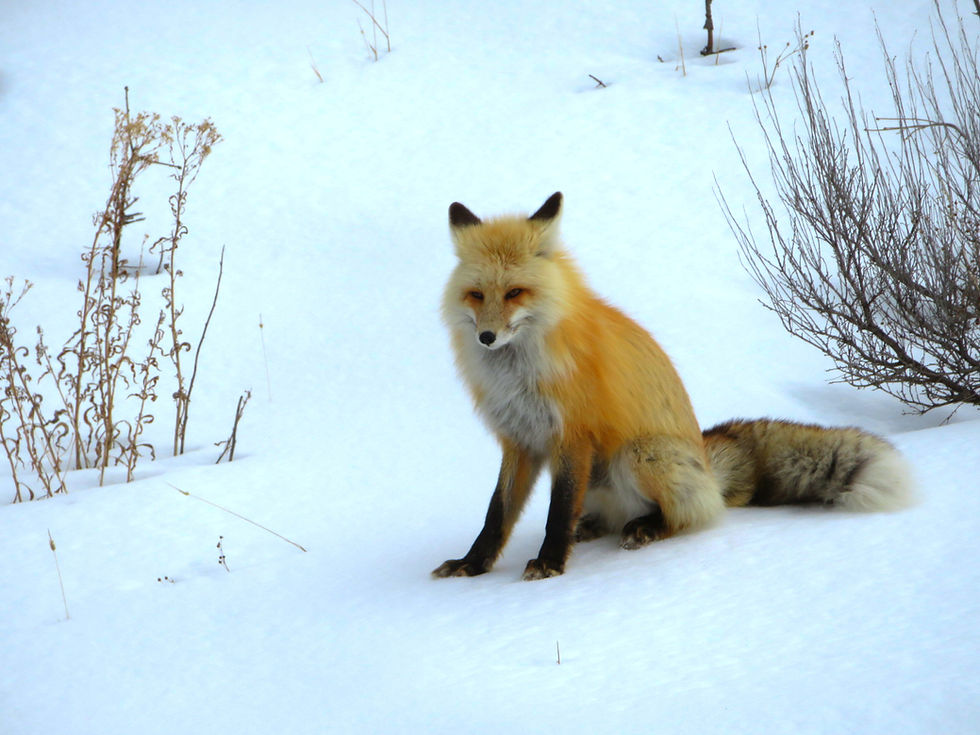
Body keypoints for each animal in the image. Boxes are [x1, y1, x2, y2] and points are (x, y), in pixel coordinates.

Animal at [432, 192, 914, 581]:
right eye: (477, 295)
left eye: (515, 293)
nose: (486, 337)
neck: (519, 372)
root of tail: (705, 462)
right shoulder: (520, 439)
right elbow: (497, 514)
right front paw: (472, 564)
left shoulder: (572, 436)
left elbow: (557, 511)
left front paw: (550, 563)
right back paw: (594, 527)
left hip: (637, 454)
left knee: (691, 516)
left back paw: (646, 529)